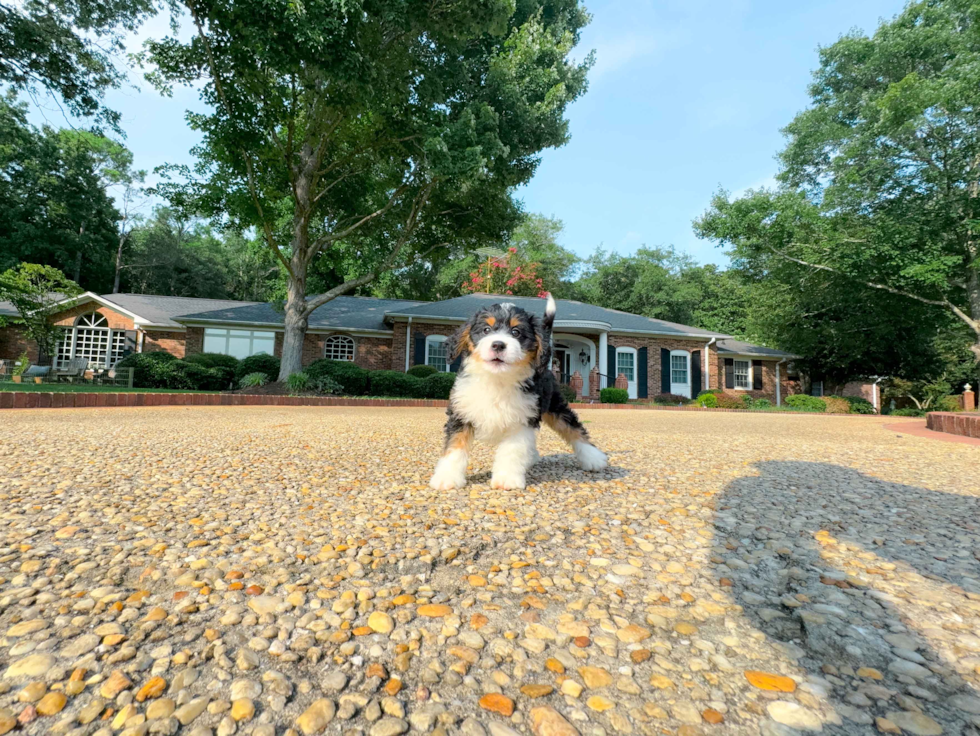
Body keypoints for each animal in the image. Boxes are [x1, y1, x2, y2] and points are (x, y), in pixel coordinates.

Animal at [428, 292, 604, 488]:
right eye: (486, 330)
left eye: (516, 332)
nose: (498, 344)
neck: (497, 379)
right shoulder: (461, 413)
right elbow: (455, 447)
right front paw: (447, 477)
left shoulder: (521, 419)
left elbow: (512, 451)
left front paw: (507, 479)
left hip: (555, 406)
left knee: (572, 427)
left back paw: (593, 458)